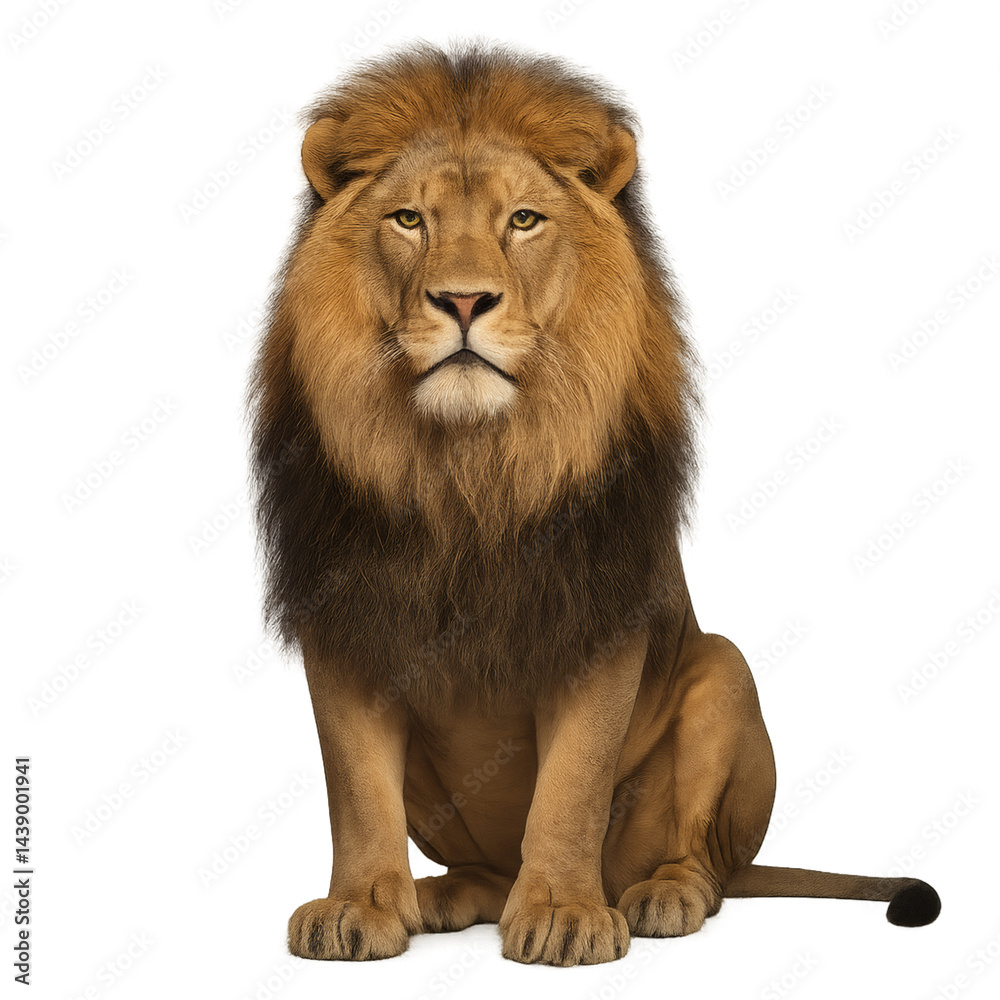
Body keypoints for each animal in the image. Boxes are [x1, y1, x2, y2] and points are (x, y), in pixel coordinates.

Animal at [248, 43, 940, 967]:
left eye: (524, 221)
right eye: (407, 220)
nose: (463, 301)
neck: (470, 468)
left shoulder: (598, 618)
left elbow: (571, 787)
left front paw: (566, 914)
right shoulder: (345, 620)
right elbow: (358, 790)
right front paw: (360, 906)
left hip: (724, 674)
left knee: (705, 865)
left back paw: (656, 898)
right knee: (487, 868)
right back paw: (443, 895)